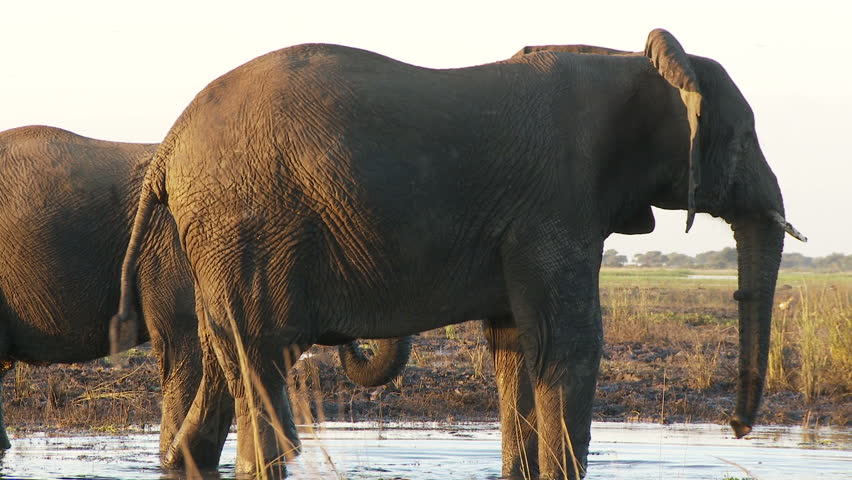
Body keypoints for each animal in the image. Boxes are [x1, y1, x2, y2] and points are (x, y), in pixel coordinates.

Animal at [110, 29, 804, 479]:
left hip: (219, 240)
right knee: (263, 363)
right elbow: (571, 344)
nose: (739, 430)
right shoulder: (555, 205)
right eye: (744, 137)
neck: (633, 61)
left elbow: (516, 346)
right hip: (248, 226)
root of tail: (169, 145)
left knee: (229, 362)